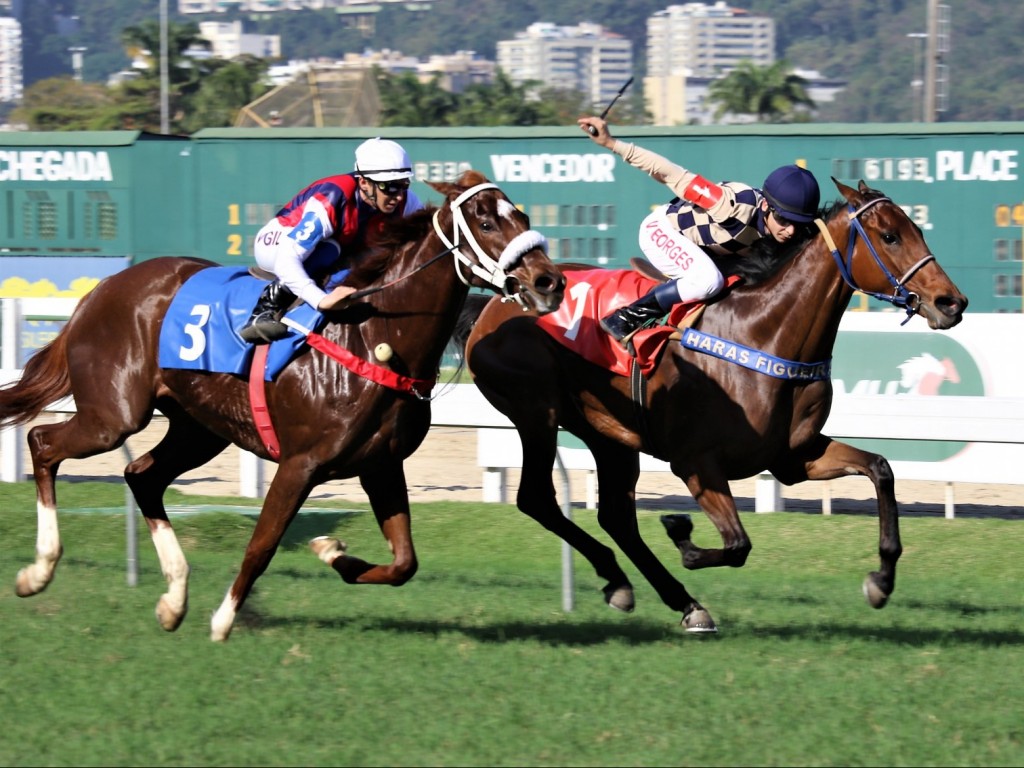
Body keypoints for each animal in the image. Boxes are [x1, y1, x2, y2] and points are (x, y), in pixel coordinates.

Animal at [0, 169, 565, 643]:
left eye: (524, 219)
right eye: (487, 221)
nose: (549, 282)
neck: (374, 335)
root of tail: (100, 291)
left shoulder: (381, 465)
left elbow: (405, 562)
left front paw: (332, 553)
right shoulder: (301, 463)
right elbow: (262, 544)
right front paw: (224, 621)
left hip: (198, 428)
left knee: (142, 475)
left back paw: (173, 597)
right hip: (113, 415)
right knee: (43, 443)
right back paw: (39, 570)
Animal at [464, 179, 966, 630]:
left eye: (918, 230)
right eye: (890, 236)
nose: (952, 302)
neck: (765, 331)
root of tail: (497, 303)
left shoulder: (794, 457)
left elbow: (881, 468)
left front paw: (881, 580)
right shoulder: (696, 462)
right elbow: (738, 544)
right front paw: (680, 532)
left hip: (609, 433)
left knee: (616, 516)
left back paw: (669, 599)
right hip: (537, 413)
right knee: (537, 498)